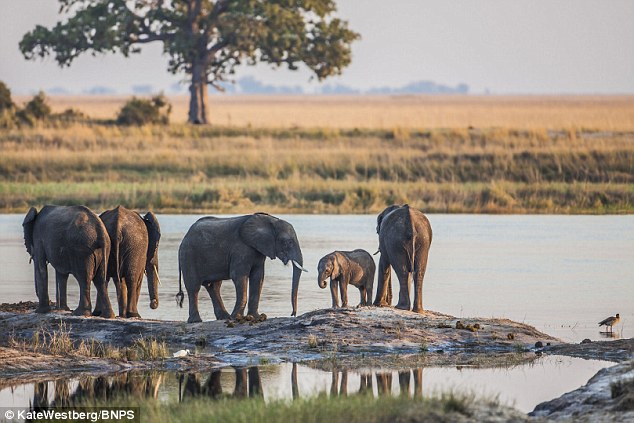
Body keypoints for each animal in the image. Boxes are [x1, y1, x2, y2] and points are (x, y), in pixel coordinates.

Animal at [178, 214, 306, 322]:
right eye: (288, 242)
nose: (293, 314)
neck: (270, 220)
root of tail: (185, 236)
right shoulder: (241, 249)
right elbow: (239, 276)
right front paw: (238, 317)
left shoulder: (259, 250)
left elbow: (258, 277)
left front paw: (257, 317)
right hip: (188, 255)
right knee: (194, 287)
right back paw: (196, 321)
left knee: (214, 287)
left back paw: (224, 317)